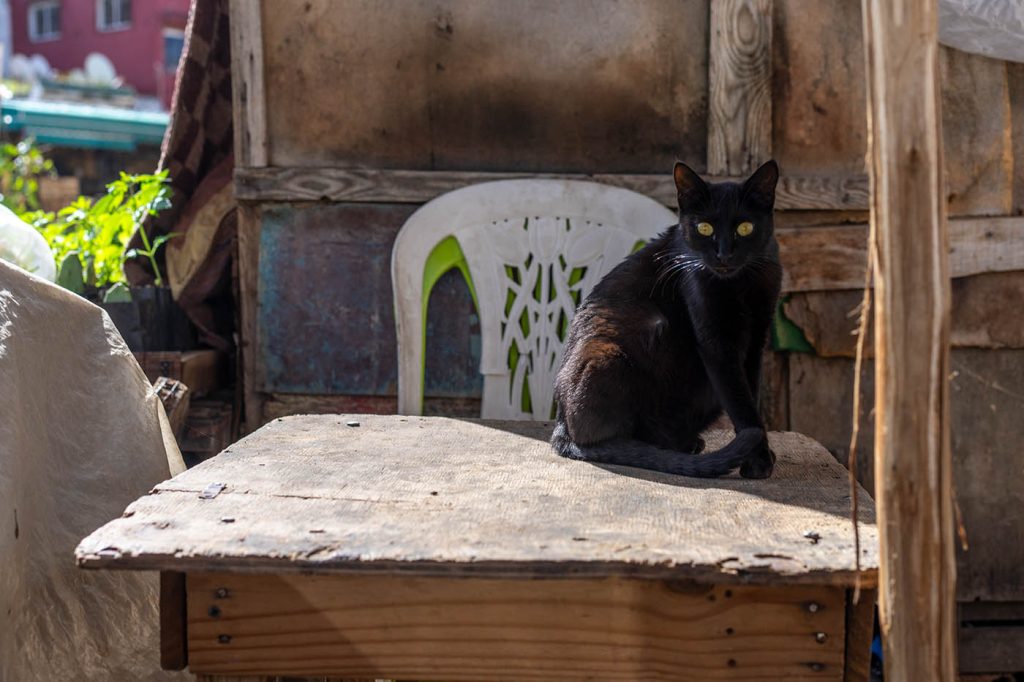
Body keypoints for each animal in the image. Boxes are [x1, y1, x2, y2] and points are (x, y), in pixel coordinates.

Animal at [552, 159, 782, 477]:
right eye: (704, 227)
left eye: (745, 227)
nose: (723, 255)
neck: (741, 284)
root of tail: (559, 425)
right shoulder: (717, 345)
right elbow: (741, 404)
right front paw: (758, 460)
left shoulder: (756, 341)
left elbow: (751, 399)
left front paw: (761, 455)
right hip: (610, 348)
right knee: (595, 438)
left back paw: (685, 444)